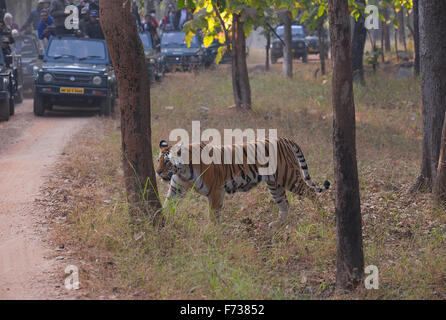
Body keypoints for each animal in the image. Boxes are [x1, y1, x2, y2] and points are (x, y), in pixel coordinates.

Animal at [155, 138, 330, 228]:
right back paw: (276, 225)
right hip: (275, 185)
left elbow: (214, 214)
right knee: (285, 204)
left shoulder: (216, 190)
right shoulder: (176, 188)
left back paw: (321, 215)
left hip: (290, 178)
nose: (157, 172)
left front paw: (212, 232)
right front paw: (160, 221)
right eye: (158, 161)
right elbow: (167, 204)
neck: (183, 171)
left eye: (168, 162)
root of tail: (284, 139)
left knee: (311, 192)